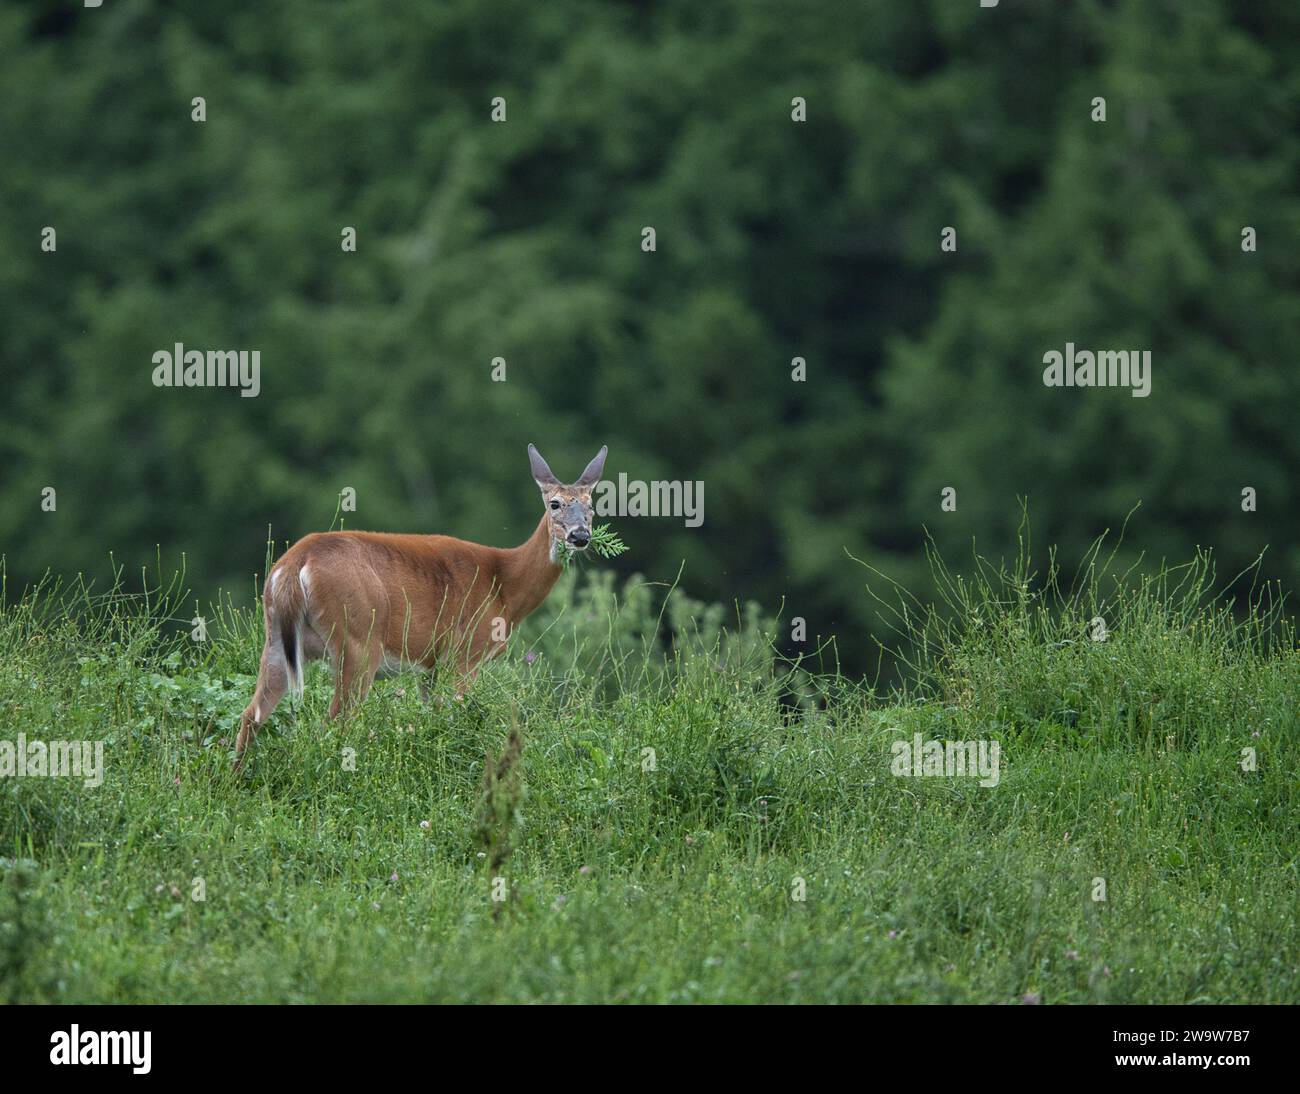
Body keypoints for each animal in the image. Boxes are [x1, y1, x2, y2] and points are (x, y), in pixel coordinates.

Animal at [236, 444, 605, 769]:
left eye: (591, 506)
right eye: (554, 503)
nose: (580, 535)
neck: (504, 585)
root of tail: (295, 563)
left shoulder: (431, 668)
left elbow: (434, 721)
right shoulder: (464, 655)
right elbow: (457, 720)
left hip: (276, 639)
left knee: (251, 714)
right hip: (357, 641)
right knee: (336, 721)